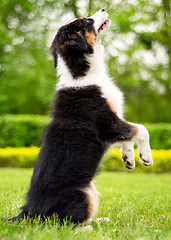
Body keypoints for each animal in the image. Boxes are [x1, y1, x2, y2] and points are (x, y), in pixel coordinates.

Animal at [2, 9, 152, 226]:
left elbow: (129, 137)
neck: (82, 73)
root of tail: (28, 212)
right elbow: (141, 129)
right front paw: (146, 157)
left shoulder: (116, 120)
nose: (103, 9)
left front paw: (129, 159)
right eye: (84, 21)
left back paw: (101, 221)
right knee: (63, 223)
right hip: (83, 193)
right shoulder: (107, 123)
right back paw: (90, 228)